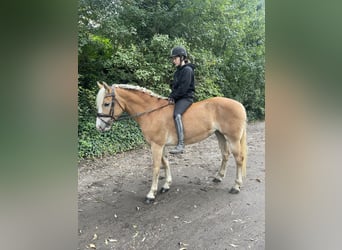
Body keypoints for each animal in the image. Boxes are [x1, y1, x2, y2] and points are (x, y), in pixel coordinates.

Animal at [95, 81, 247, 204]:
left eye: (106, 104)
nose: (99, 127)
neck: (151, 113)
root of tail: (239, 105)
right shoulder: (160, 145)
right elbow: (165, 163)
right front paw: (166, 185)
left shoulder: (156, 146)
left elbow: (156, 167)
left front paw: (151, 194)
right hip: (219, 134)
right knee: (225, 154)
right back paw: (219, 177)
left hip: (233, 138)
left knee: (239, 159)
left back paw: (236, 186)